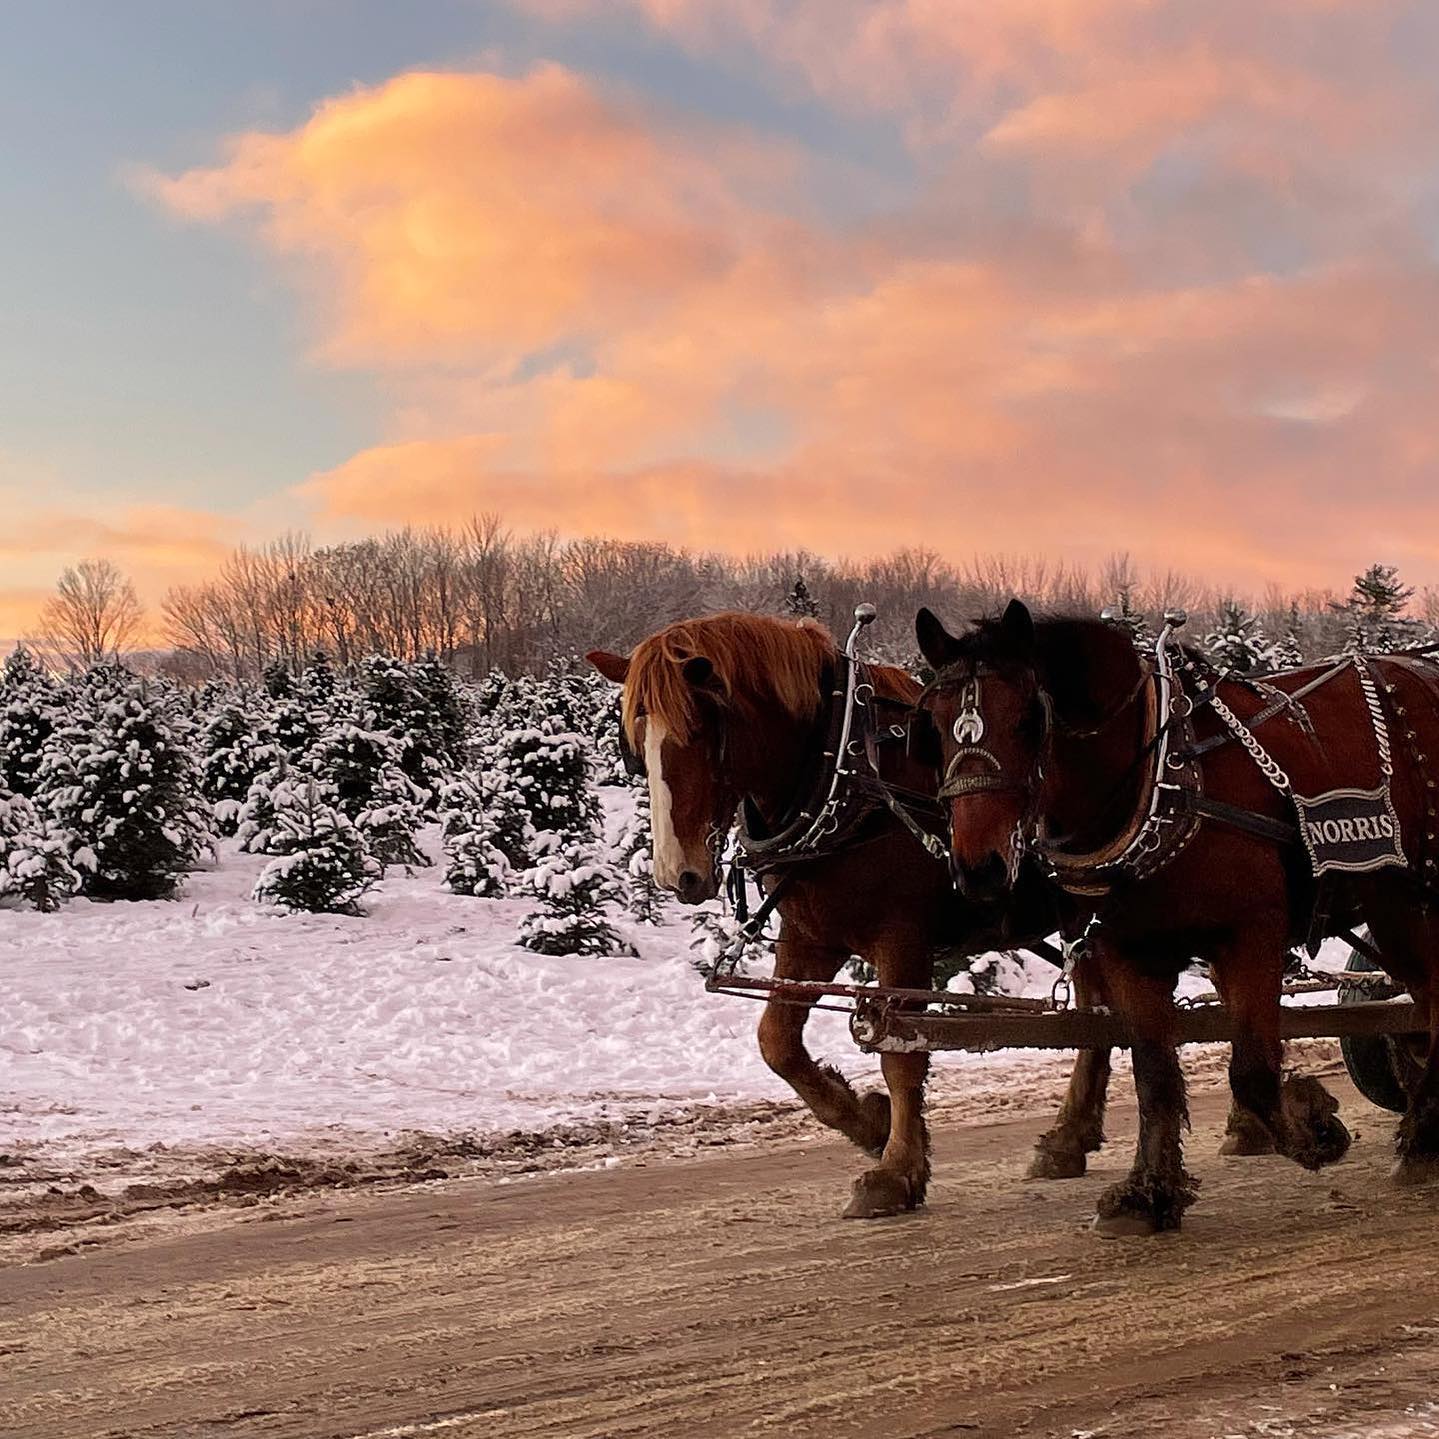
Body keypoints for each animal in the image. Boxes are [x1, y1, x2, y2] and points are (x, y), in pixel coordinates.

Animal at [587, 611, 1115, 1216]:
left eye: (700, 728)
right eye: (633, 745)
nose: (680, 875)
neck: (847, 777)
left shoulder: (903, 939)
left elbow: (901, 1056)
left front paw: (896, 1172)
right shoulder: (811, 936)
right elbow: (777, 1042)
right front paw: (870, 1123)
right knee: (1097, 1011)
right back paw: (1069, 1138)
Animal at [915, 598, 1439, 1235]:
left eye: (1027, 720)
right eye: (933, 726)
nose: (980, 868)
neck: (1160, 779)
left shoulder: (1250, 936)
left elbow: (1254, 1072)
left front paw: (1316, 1128)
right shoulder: (1131, 953)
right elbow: (1155, 1077)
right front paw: (1149, 1194)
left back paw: (1421, 1140)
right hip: (1393, 903)